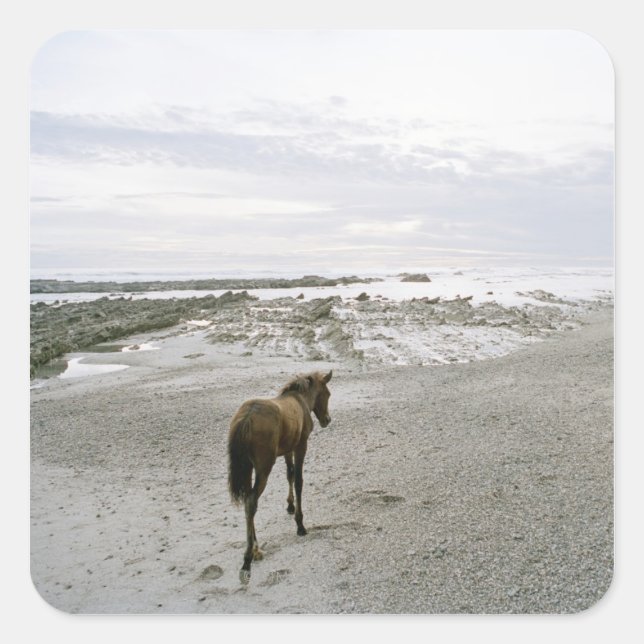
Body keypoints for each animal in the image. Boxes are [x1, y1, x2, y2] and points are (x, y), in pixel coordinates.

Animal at [227, 370, 333, 579]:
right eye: (328, 394)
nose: (327, 419)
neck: (301, 400)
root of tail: (246, 418)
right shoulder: (301, 446)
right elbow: (299, 481)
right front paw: (300, 525)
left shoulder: (288, 449)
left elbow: (289, 475)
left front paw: (290, 506)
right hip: (263, 467)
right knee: (252, 501)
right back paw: (248, 556)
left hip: (248, 468)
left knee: (248, 501)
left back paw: (255, 548)